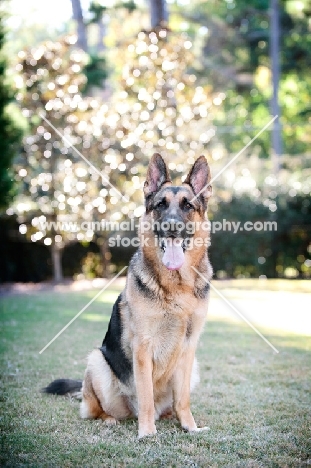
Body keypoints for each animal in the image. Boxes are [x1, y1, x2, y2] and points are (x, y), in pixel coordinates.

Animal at [44, 154, 213, 438]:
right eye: (160, 205)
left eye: (187, 205)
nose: (172, 226)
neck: (177, 286)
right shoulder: (143, 347)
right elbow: (145, 396)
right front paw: (147, 432)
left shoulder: (190, 347)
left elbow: (183, 399)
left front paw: (190, 426)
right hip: (97, 362)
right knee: (95, 409)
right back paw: (111, 419)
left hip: (194, 367)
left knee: (169, 405)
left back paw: (169, 416)